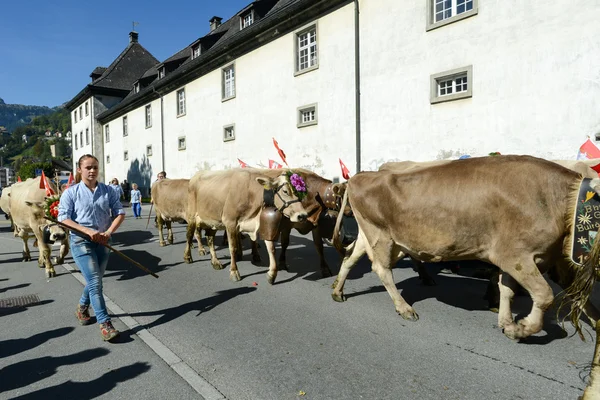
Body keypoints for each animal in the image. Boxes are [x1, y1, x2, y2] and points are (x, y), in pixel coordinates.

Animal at [332, 156, 600, 340]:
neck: (559, 199)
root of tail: (359, 176)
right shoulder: (516, 255)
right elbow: (544, 295)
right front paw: (522, 328)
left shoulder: (540, 259)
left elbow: (508, 289)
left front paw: (506, 322)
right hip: (381, 235)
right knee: (381, 269)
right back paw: (404, 307)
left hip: (375, 236)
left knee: (350, 256)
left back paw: (337, 291)